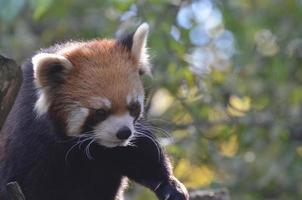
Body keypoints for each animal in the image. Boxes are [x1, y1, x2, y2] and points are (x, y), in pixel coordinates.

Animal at [0, 23, 189, 200]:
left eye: (133, 106)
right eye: (100, 112)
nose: (124, 133)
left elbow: (143, 153)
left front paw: (170, 185)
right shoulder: (28, 141)